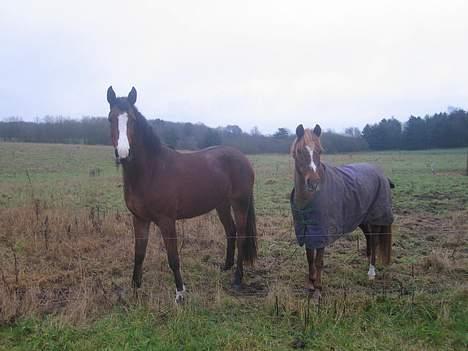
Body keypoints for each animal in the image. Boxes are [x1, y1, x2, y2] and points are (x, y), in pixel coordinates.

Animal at [106, 87, 258, 302]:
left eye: (133, 120)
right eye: (110, 119)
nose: (123, 153)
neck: (151, 171)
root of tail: (243, 158)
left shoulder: (167, 221)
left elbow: (173, 258)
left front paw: (180, 292)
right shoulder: (139, 219)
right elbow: (139, 254)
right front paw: (135, 288)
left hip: (240, 204)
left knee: (242, 236)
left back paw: (237, 279)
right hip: (221, 205)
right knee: (231, 231)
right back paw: (225, 267)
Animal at [290, 124, 394, 300]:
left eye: (320, 151)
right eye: (299, 151)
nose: (314, 182)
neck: (308, 201)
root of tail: (381, 174)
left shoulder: (322, 233)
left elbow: (318, 261)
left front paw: (318, 290)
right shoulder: (307, 231)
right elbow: (310, 258)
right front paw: (310, 285)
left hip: (376, 218)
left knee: (374, 241)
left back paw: (371, 272)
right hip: (362, 218)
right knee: (369, 239)